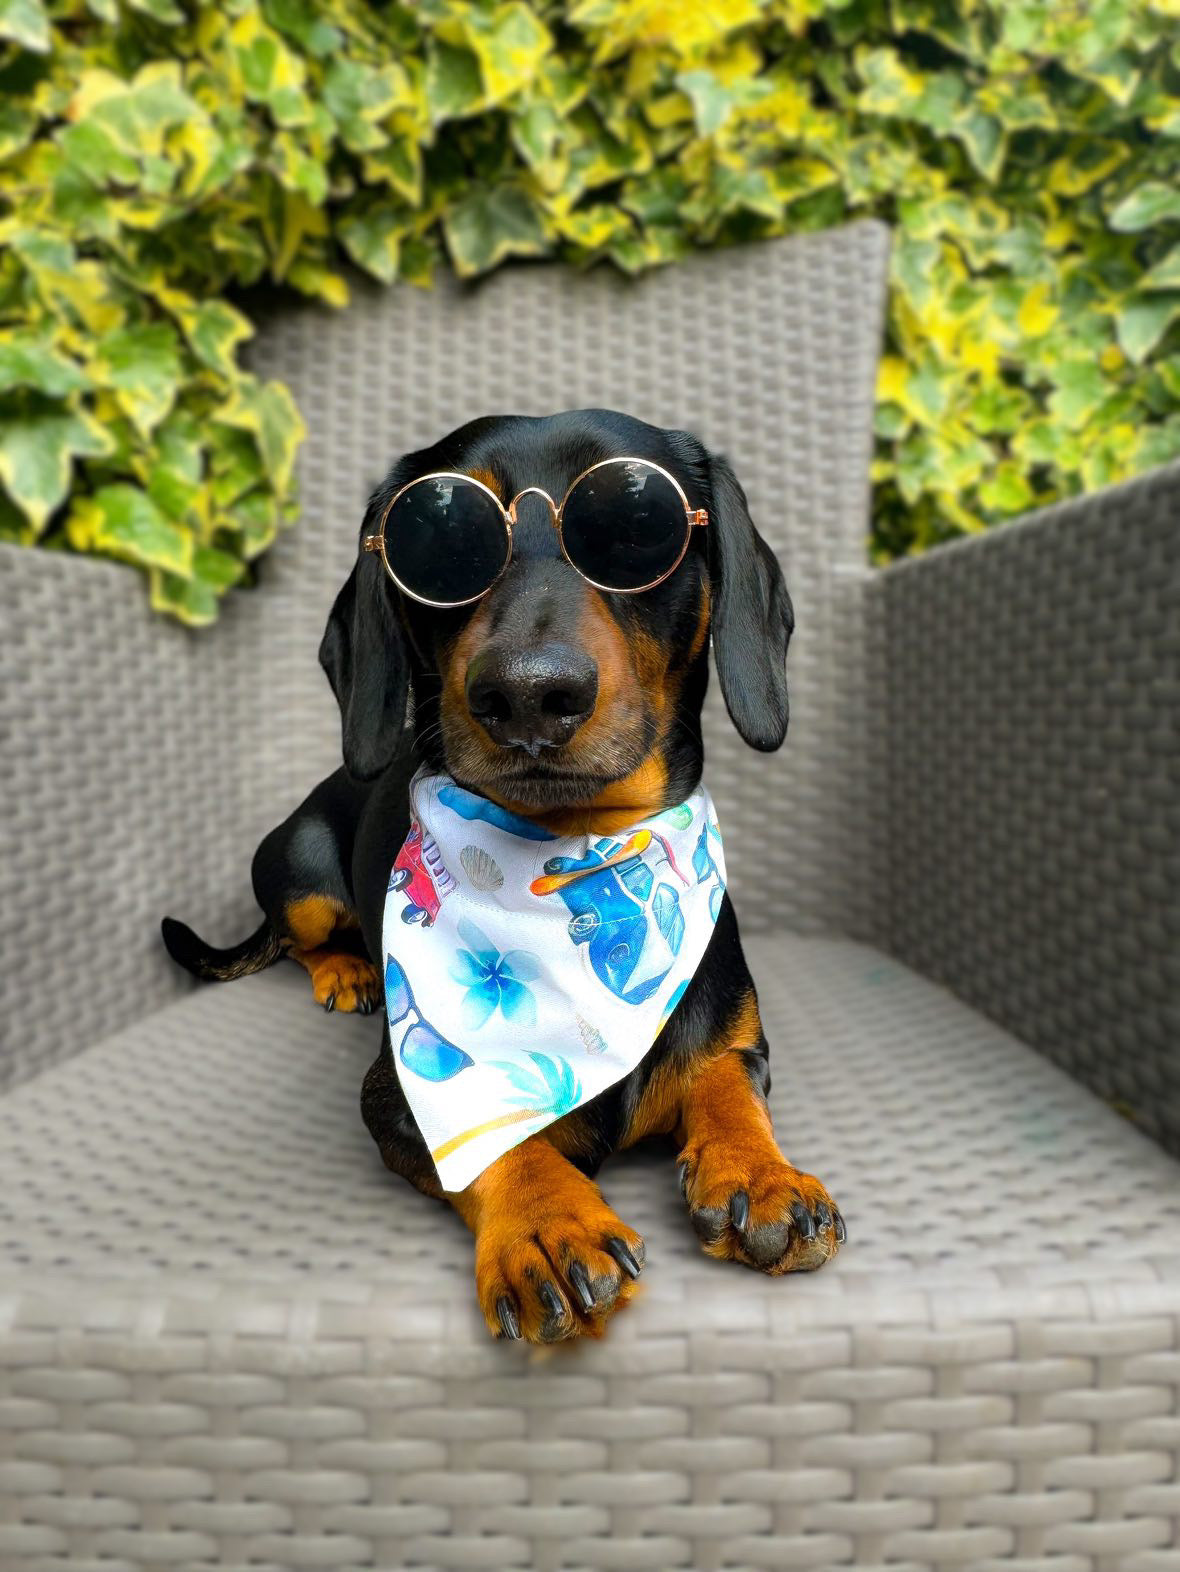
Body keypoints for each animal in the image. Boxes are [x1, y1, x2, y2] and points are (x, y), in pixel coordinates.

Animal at [168, 405, 848, 1339]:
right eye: (437, 540)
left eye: (638, 526)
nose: (528, 693)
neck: (572, 848)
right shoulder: (398, 1098)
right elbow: (494, 1134)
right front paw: (547, 1220)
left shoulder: (736, 1038)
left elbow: (725, 1085)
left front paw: (759, 1172)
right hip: (300, 872)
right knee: (301, 934)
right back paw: (347, 972)